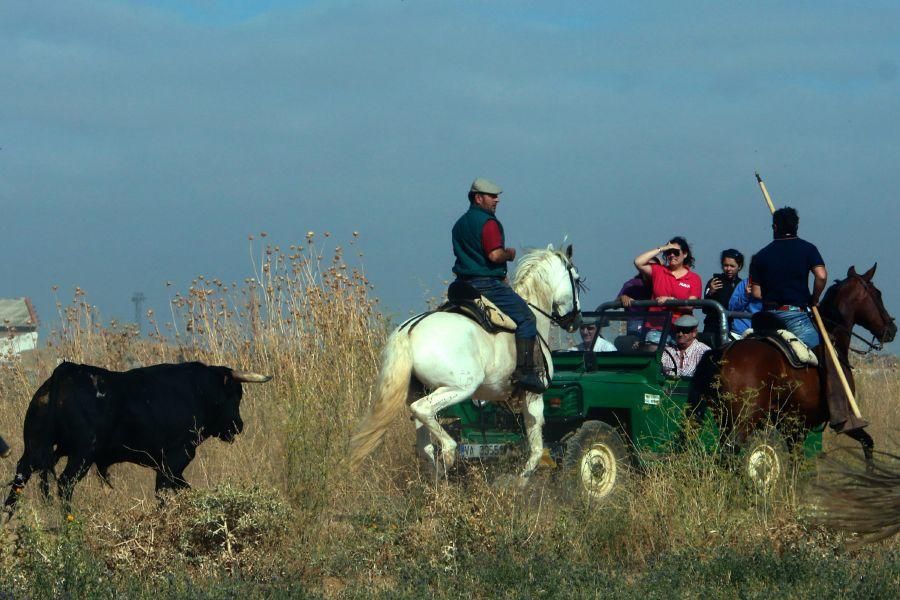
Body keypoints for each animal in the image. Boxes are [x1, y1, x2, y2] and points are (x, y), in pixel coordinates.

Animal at [4, 360, 270, 510]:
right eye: (235, 394)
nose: (238, 425)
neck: (197, 390)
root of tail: (66, 371)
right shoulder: (175, 458)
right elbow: (164, 493)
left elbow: (183, 489)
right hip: (82, 454)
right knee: (65, 484)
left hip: (35, 449)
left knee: (19, 479)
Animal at [348, 245, 580, 482]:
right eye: (577, 280)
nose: (576, 322)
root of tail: (410, 329)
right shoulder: (533, 395)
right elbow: (537, 448)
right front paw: (520, 482)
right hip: (459, 388)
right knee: (425, 414)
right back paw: (448, 457)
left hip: (420, 392)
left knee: (424, 446)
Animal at [688, 264, 892, 460]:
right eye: (878, 294)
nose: (892, 328)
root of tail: (724, 352)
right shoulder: (844, 418)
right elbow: (867, 442)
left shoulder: (794, 427)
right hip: (744, 419)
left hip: (724, 418)